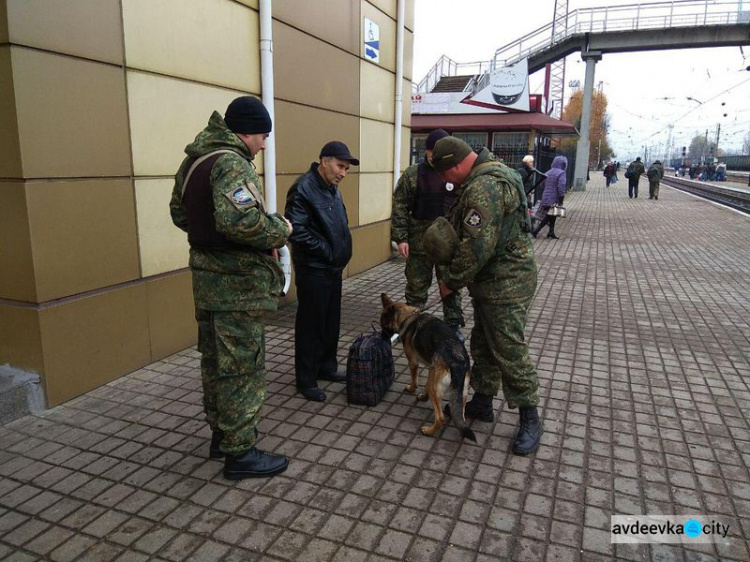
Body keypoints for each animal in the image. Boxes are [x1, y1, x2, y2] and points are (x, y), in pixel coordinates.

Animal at [378, 294, 478, 442]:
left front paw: (412, 388)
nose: (381, 337)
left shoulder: (414, 362)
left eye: (383, 326)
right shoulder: (430, 368)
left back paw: (429, 431)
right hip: (460, 394)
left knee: (440, 418)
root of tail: (458, 360)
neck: (409, 318)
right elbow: (425, 383)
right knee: (461, 415)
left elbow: (415, 379)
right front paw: (423, 395)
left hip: (435, 388)